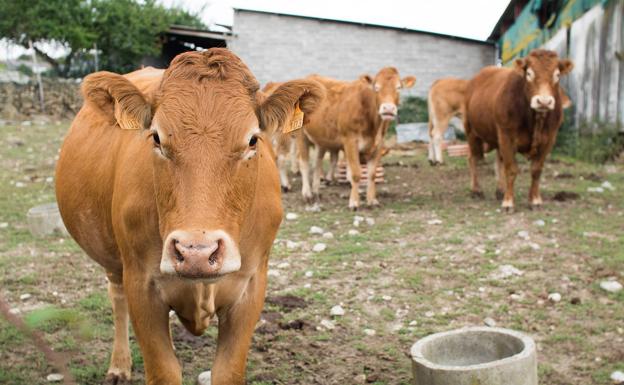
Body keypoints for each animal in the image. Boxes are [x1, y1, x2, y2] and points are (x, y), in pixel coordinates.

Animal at [56, 48, 324, 384]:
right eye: (157, 138)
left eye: (253, 140)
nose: (196, 252)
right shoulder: (141, 286)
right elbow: (163, 370)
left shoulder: (250, 288)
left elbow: (227, 371)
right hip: (114, 261)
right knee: (117, 298)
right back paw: (119, 365)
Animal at [298, 67, 414, 208]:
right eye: (376, 87)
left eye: (399, 87)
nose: (388, 108)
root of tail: (311, 77)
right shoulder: (350, 141)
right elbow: (355, 174)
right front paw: (354, 202)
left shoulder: (379, 144)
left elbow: (371, 174)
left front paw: (372, 200)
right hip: (301, 135)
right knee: (304, 163)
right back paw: (307, 194)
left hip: (321, 138)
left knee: (317, 162)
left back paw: (316, 192)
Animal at [464, 49, 576, 212]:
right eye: (529, 73)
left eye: (557, 75)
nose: (544, 101)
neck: (535, 121)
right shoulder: (507, 136)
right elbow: (511, 169)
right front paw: (508, 203)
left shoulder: (549, 139)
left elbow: (536, 170)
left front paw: (534, 200)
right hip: (472, 132)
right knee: (474, 158)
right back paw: (476, 190)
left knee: (498, 161)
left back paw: (500, 190)